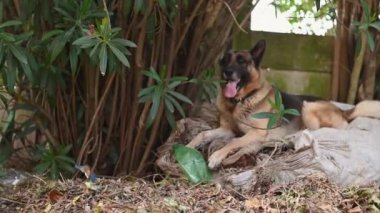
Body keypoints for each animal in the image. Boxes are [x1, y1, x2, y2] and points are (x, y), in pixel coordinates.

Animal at [189, 39, 380, 169]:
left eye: (242, 61)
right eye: (225, 60)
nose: (228, 72)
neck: (240, 101)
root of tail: (341, 109)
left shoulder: (256, 133)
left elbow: (232, 143)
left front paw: (216, 156)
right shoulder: (227, 129)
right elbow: (203, 134)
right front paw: (189, 145)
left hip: (307, 107)